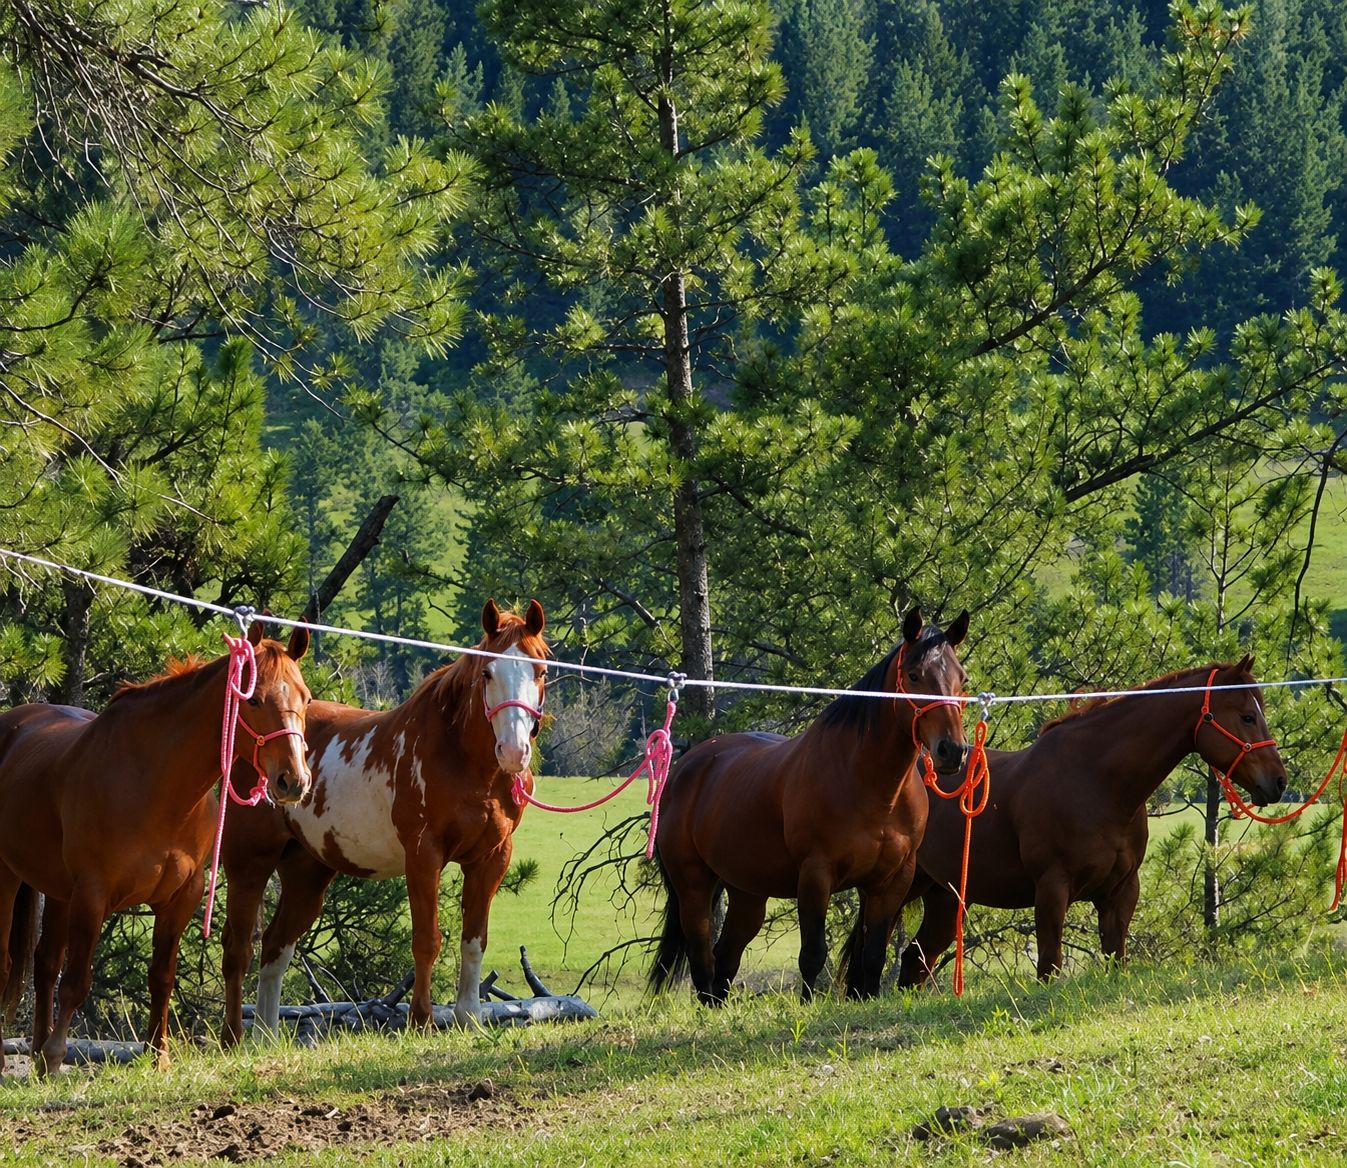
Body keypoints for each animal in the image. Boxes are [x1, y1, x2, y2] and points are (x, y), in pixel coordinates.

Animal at [0, 622, 311, 1076]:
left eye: (306, 698)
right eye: (252, 699)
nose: (294, 780)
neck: (154, 786)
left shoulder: (181, 897)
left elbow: (161, 976)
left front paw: (158, 1055)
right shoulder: (92, 894)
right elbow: (76, 982)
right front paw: (58, 1055)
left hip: (58, 892)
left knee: (45, 963)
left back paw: (38, 1054)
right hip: (8, 878)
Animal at [219, 598, 549, 1042]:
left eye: (541, 670)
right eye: (487, 672)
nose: (514, 751)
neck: (465, 761)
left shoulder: (492, 857)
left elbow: (474, 939)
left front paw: (468, 1018)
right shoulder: (424, 855)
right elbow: (427, 940)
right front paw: (421, 1020)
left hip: (307, 870)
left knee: (275, 947)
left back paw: (267, 1039)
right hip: (249, 863)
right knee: (238, 948)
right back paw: (234, 1038)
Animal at [648, 608, 971, 1005]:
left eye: (961, 678)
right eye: (914, 674)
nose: (952, 750)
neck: (873, 789)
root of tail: (685, 767)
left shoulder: (892, 881)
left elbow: (873, 955)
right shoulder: (816, 874)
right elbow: (813, 955)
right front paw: (806, 1006)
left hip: (748, 892)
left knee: (725, 957)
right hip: (693, 885)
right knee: (702, 958)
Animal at [881, 656, 1288, 990]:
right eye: (1247, 716)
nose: (1279, 782)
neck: (1097, 782)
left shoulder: (1120, 893)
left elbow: (1115, 959)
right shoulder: (1052, 889)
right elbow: (1049, 967)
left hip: (945, 895)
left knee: (915, 959)